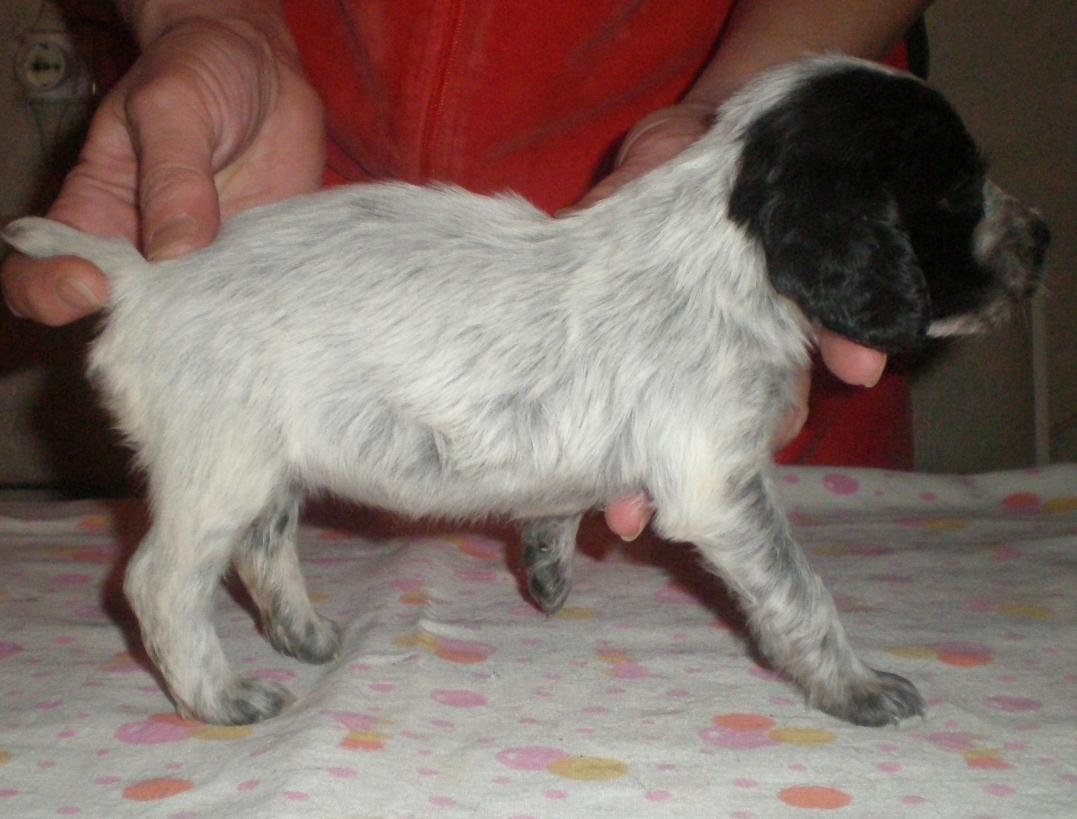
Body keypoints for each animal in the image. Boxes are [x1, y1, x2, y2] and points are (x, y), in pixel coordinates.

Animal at [3, 56, 1049, 726]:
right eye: (957, 191)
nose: (1042, 235)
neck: (725, 251)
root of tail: (149, 276)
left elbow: (559, 501)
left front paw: (547, 562)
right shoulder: (719, 482)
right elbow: (801, 592)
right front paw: (855, 686)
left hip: (266, 465)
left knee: (264, 551)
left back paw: (302, 635)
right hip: (218, 466)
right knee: (158, 582)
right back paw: (218, 696)